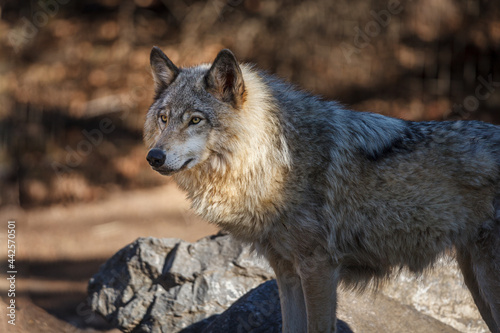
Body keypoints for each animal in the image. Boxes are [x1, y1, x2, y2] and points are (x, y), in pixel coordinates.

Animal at [143, 47, 498, 332]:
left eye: (195, 120)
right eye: (164, 119)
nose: (153, 157)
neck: (273, 158)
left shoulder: (319, 268)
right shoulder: (286, 272)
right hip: (476, 282)